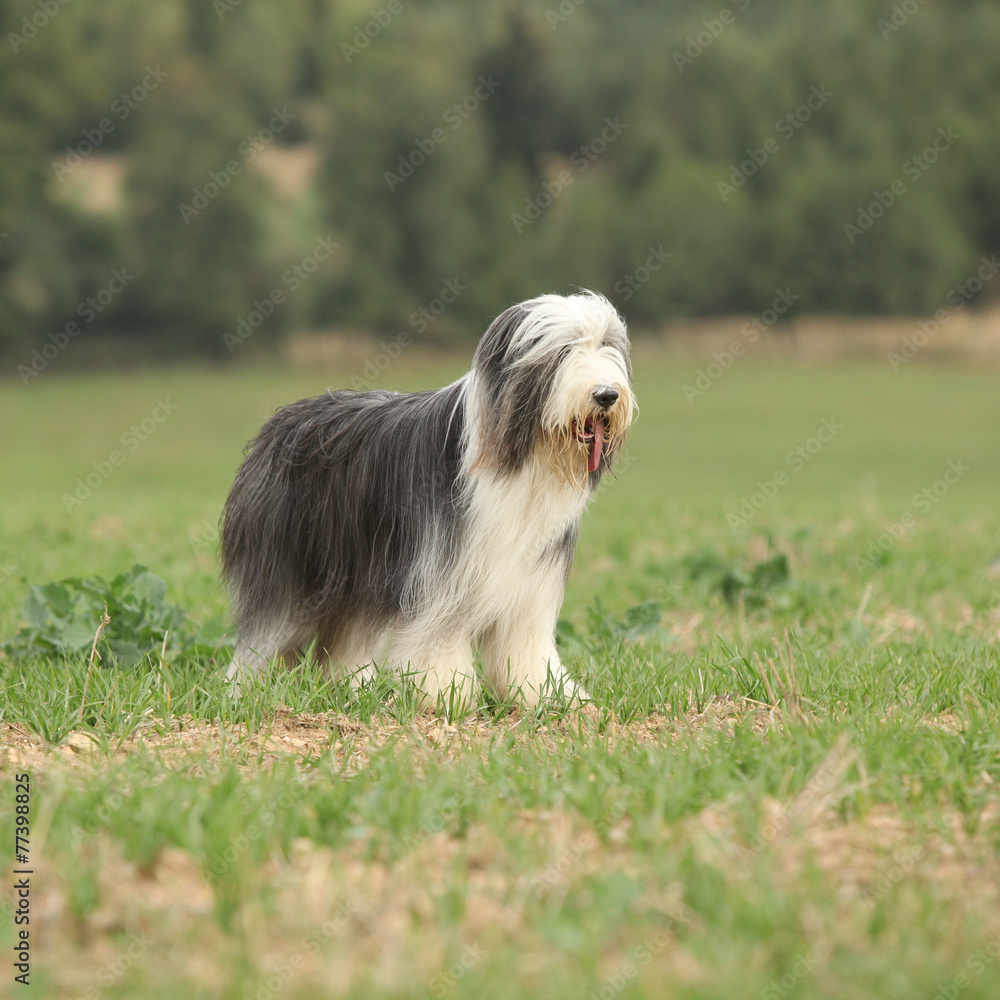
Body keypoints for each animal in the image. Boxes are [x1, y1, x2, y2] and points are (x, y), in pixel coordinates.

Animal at [224, 290, 636, 708]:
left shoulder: (531, 579)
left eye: (606, 346)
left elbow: (526, 645)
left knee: (348, 635)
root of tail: (281, 419)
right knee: (264, 632)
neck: (522, 457)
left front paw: (550, 696)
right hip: (289, 563)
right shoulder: (441, 572)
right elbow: (438, 637)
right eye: (564, 350)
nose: (607, 394)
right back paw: (246, 690)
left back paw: (351, 687)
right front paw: (446, 695)